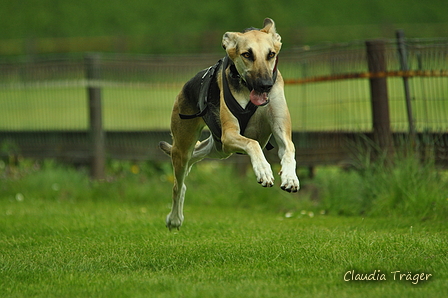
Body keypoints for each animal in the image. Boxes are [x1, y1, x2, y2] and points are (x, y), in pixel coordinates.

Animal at [159, 18, 300, 230]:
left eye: (271, 54)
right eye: (247, 54)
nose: (266, 85)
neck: (248, 89)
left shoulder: (279, 127)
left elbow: (289, 148)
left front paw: (290, 176)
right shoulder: (230, 134)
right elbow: (253, 143)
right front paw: (263, 170)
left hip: (219, 148)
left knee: (196, 155)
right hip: (189, 143)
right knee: (178, 183)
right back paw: (174, 219)